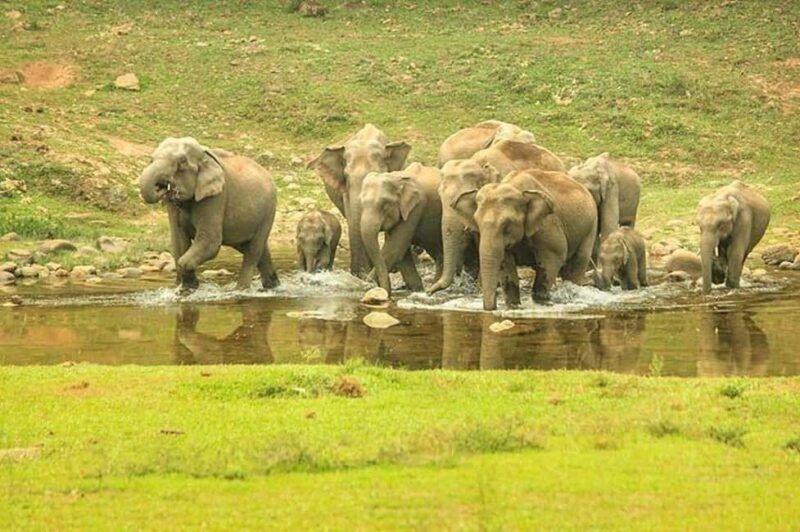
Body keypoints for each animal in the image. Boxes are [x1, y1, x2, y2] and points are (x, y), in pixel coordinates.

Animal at [138, 137, 278, 292]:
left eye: (182, 162)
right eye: (151, 159)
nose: (163, 187)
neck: (205, 156)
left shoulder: (216, 197)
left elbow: (210, 242)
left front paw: (188, 286)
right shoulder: (173, 206)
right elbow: (178, 241)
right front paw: (186, 288)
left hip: (268, 212)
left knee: (253, 251)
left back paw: (241, 290)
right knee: (257, 250)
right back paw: (273, 286)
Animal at [308, 124, 411, 276]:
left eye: (377, 175)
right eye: (346, 177)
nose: (358, 272)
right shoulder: (346, 193)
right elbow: (353, 222)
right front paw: (359, 274)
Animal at [359, 162, 443, 296]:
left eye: (385, 206)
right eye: (361, 204)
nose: (387, 291)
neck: (395, 178)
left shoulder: (415, 208)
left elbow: (395, 249)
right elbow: (402, 255)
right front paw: (417, 289)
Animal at [474, 169, 597, 310]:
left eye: (507, 225)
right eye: (476, 222)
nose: (492, 308)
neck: (516, 188)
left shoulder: (548, 224)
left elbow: (553, 259)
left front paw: (541, 301)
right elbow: (506, 263)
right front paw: (514, 306)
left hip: (590, 227)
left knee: (577, 263)